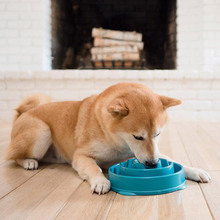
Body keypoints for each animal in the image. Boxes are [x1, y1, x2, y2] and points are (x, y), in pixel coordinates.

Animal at [4, 82, 211, 194]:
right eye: (138, 137)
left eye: (158, 134)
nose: (152, 164)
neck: (118, 142)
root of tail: (22, 113)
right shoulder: (81, 156)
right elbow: (93, 167)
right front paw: (100, 181)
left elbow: (177, 161)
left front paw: (195, 171)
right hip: (42, 132)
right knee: (12, 156)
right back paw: (28, 161)